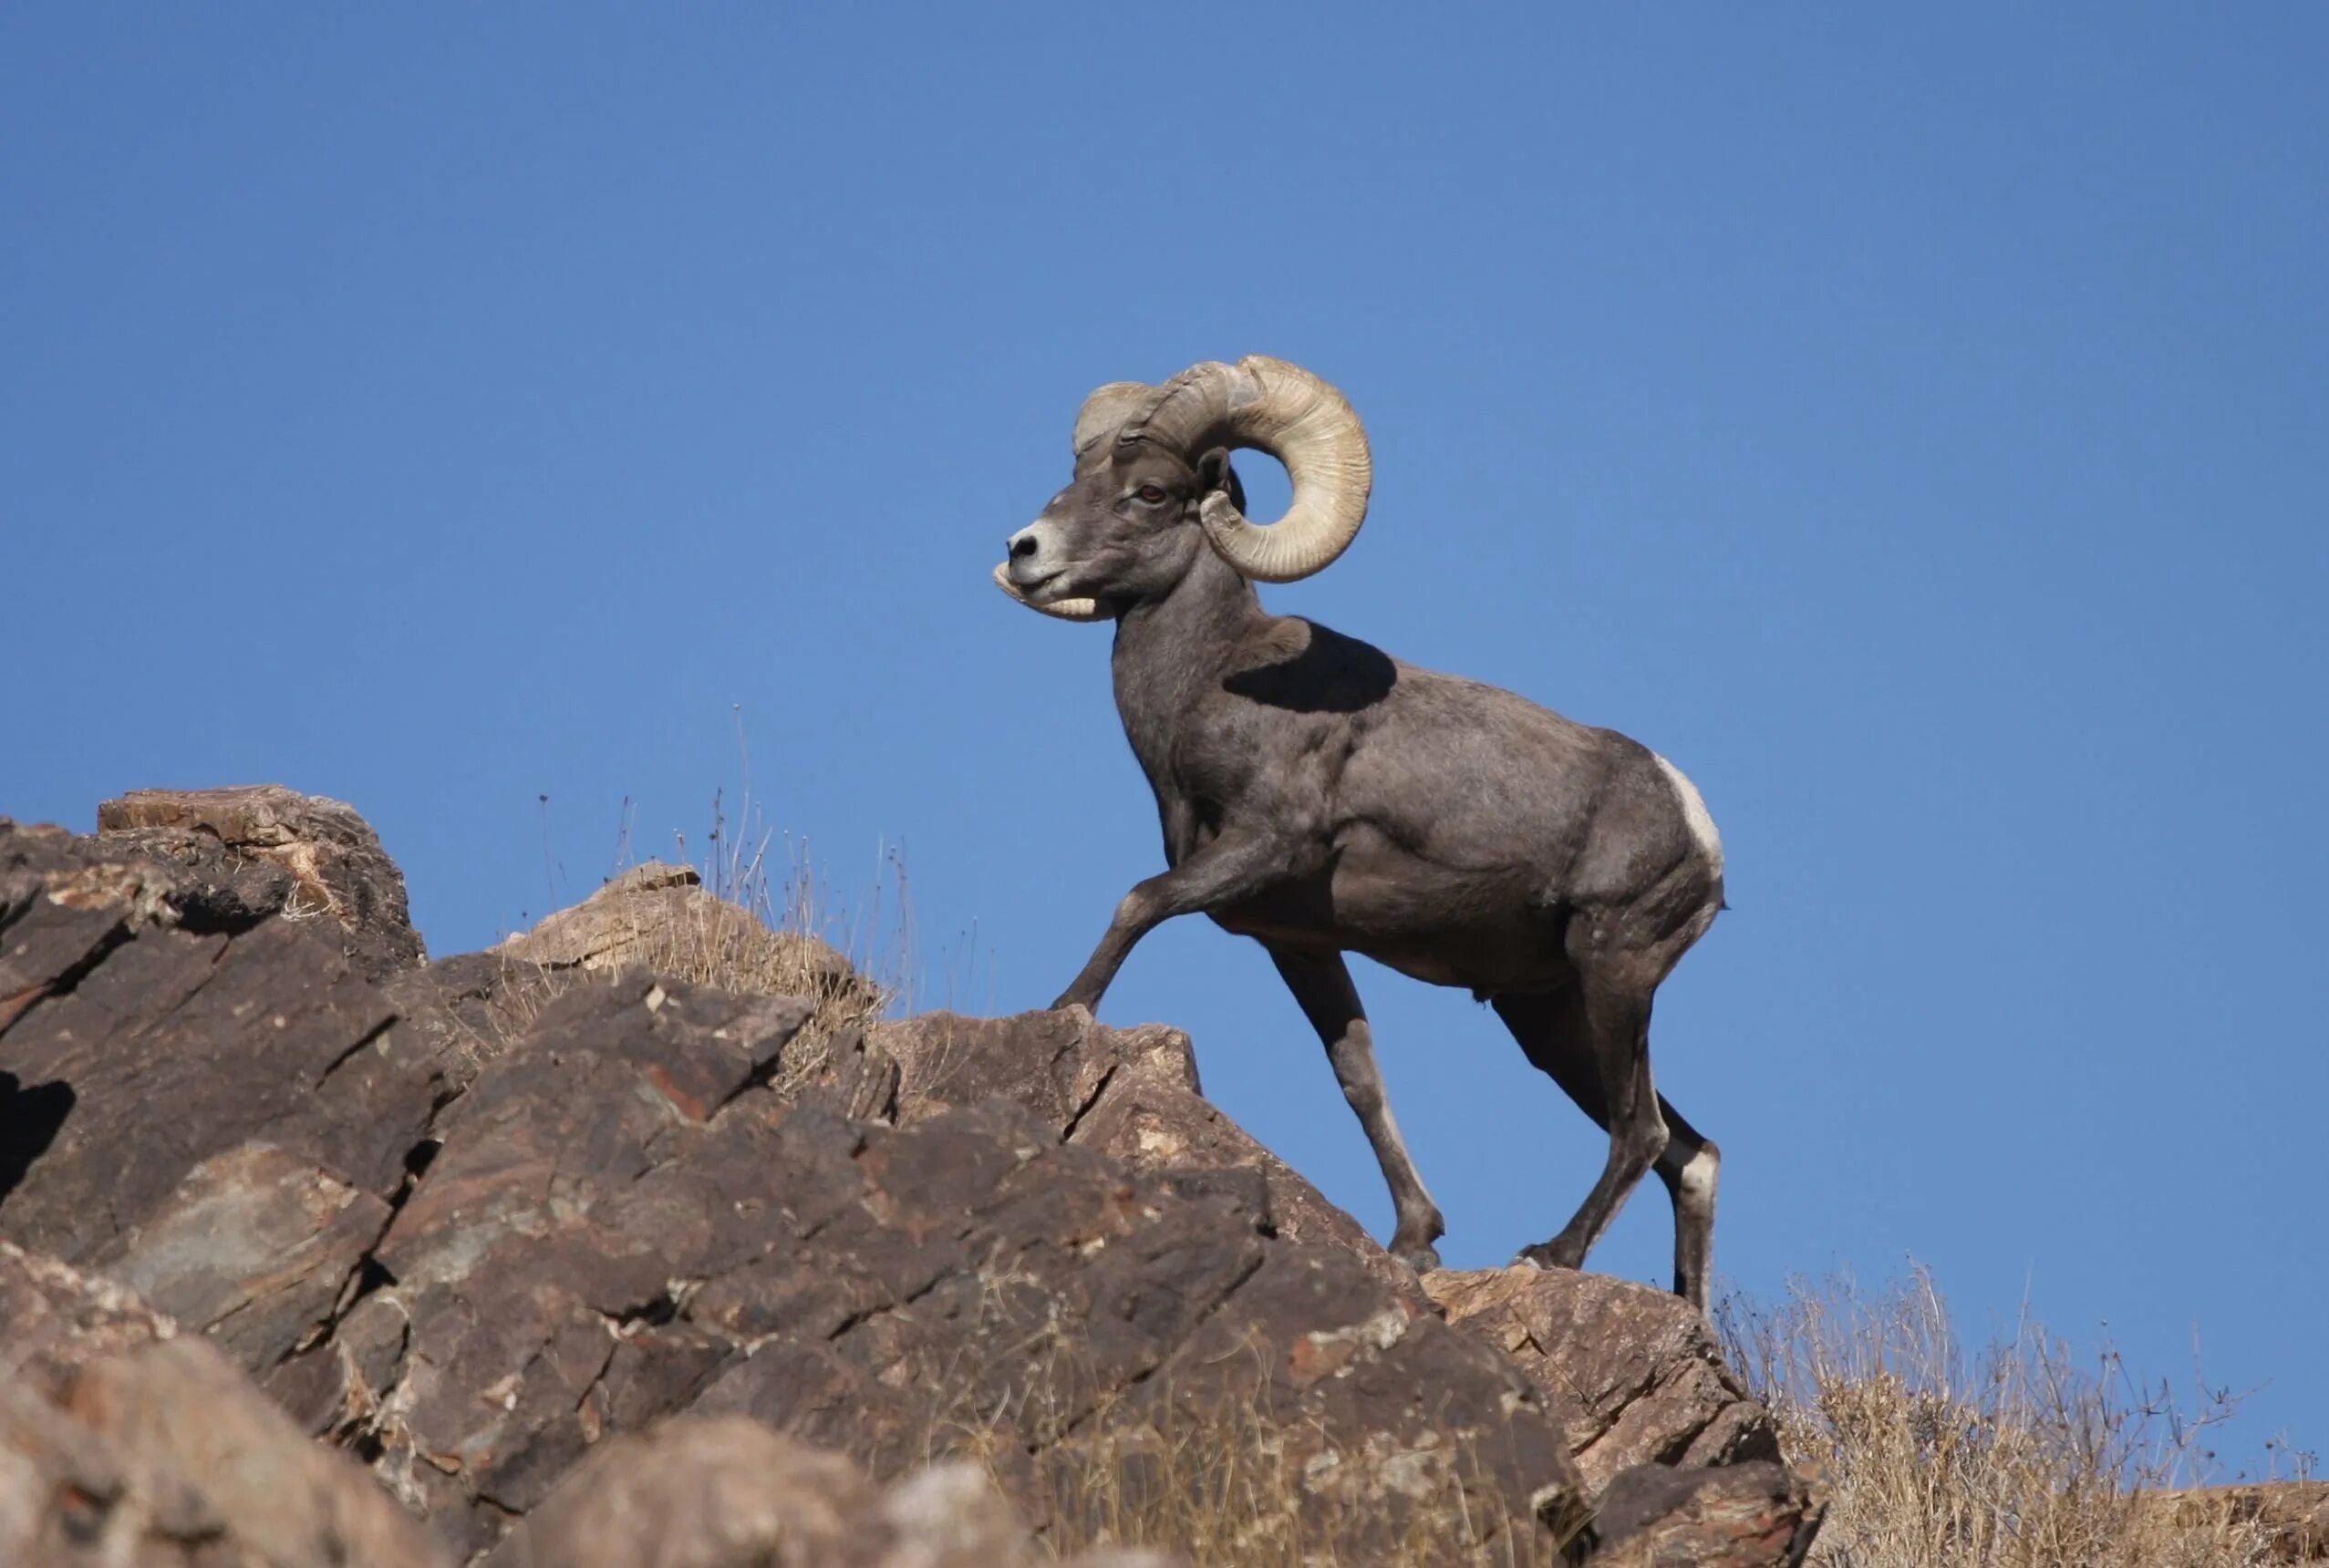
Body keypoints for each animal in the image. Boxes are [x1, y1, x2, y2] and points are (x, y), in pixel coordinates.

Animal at [987, 361, 1733, 1305]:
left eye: (1150, 491)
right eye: (1076, 479)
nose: (1025, 551)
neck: (1215, 682)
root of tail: (1696, 828)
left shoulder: (1259, 849)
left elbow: (1138, 902)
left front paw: (1067, 1009)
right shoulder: (1298, 942)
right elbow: (1359, 1078)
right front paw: (1415, 1241)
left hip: (1613, 972)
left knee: (1641, 1133)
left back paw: (1551, 1255)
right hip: (1547, 1015)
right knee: (1690, 1154)